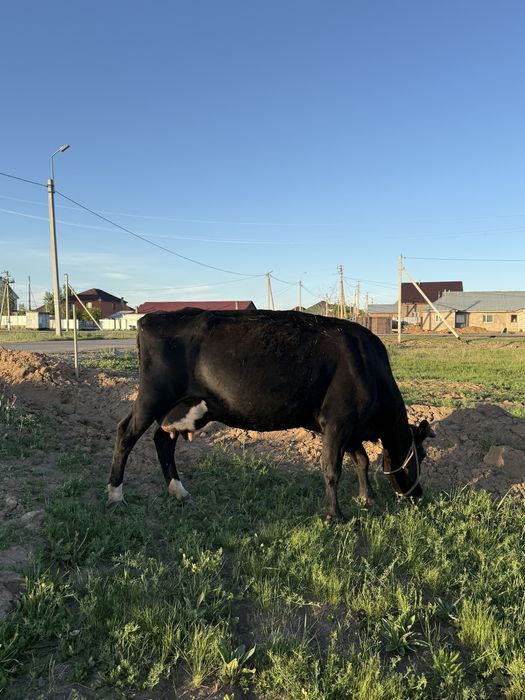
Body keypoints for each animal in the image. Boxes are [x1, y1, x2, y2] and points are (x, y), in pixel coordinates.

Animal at [107, 309, 434, 521]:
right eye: (421, 455)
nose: (419, 494)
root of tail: (152, 317)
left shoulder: (349, 426)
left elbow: (361, 460)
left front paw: (368, 499)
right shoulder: (337, 422)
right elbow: (332, 469)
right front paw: (336, 516)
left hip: (180, 406)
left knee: (163, 440)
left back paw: (179, 492)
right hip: (153, 396)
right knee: (126, 433)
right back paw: (115, 495)